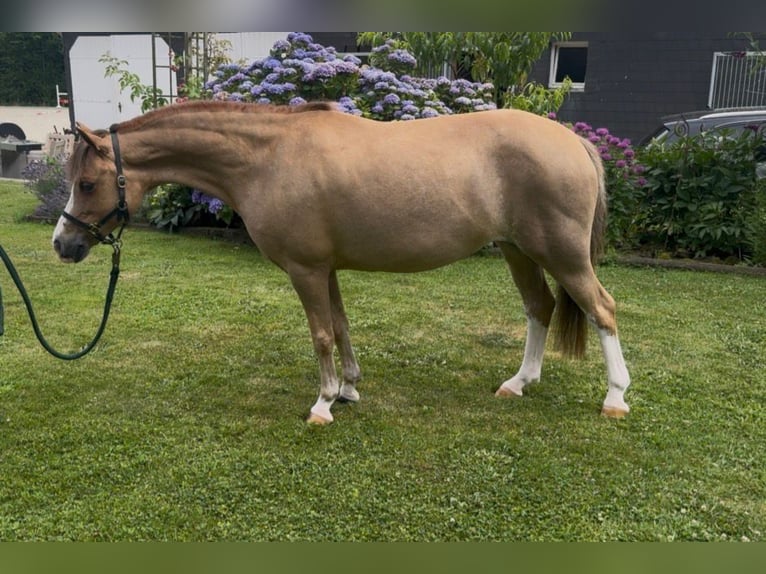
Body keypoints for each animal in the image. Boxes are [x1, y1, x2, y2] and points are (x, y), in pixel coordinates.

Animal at [52, 100, 631, 425]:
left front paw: (324, 403)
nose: (63, 244)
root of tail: (574, 141)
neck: (268, 157)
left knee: (602, 309)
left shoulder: (306, 269)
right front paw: (350, 389)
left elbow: (322, 335)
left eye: (87, 183)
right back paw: (519, 382)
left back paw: (615, 397)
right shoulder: (326, 268)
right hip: (519, 251)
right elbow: (343, 325)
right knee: (540, 307)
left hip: (562, 253)